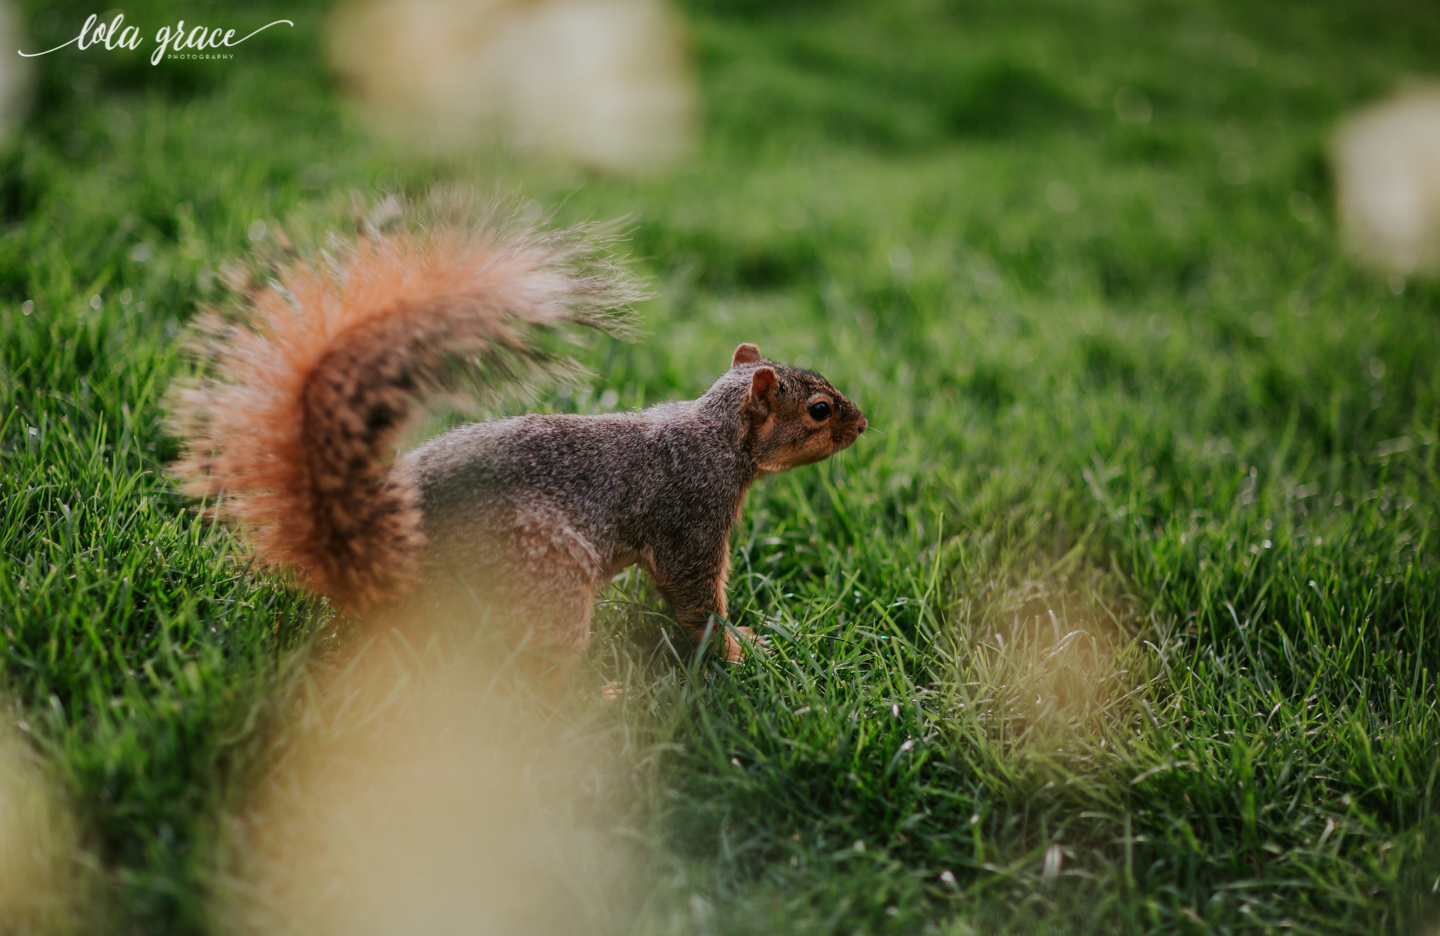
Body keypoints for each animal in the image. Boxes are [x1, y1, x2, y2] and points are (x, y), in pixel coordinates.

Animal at [168, 198, 864, 662]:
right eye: (819, 409)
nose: (862, 423)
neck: (715, 436)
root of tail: (382, 570)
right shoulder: (690, 514)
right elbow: (693, 593)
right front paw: (739, 651)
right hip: (543, 566)